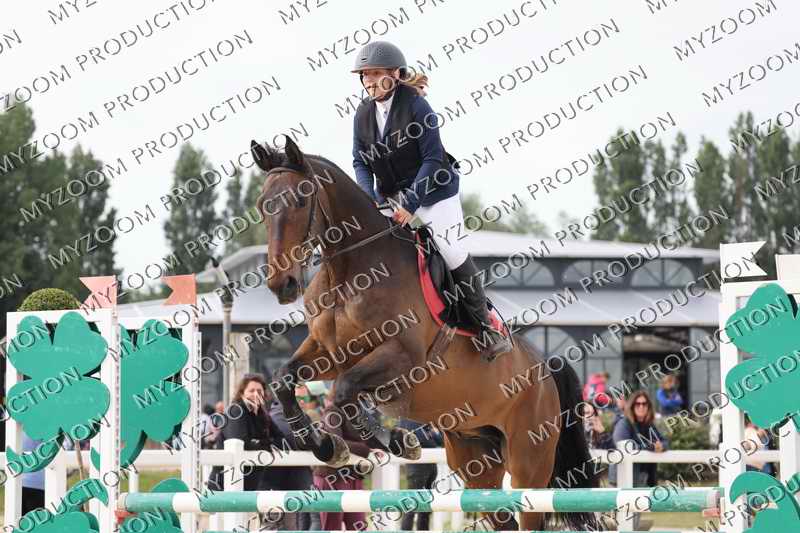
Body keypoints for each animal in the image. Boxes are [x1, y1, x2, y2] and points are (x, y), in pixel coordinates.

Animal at [252, 135, 598, 531]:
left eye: (300, 200)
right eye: (262, 207)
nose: (282, 285)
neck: (349, 273)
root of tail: (546, 368)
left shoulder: (403, 357)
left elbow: (344, 390)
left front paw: (397, 441)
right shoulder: (331, 354)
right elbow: (286, 380)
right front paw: (330, 446)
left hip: (530, 458)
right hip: (476, 455)